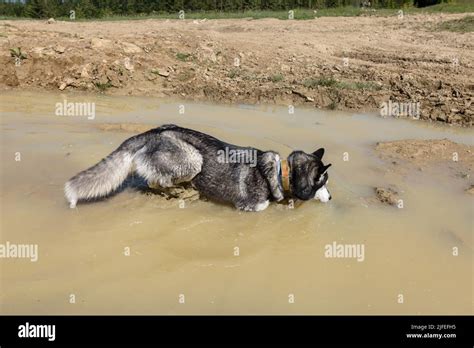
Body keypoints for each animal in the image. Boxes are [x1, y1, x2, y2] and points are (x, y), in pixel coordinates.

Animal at [65, 125, 334, 212]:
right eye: (324, 181)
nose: (331, 198)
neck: (280, 173)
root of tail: (153, 132)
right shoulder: (250, 208)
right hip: (193, 159)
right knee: (157, 182)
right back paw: (183, 192)